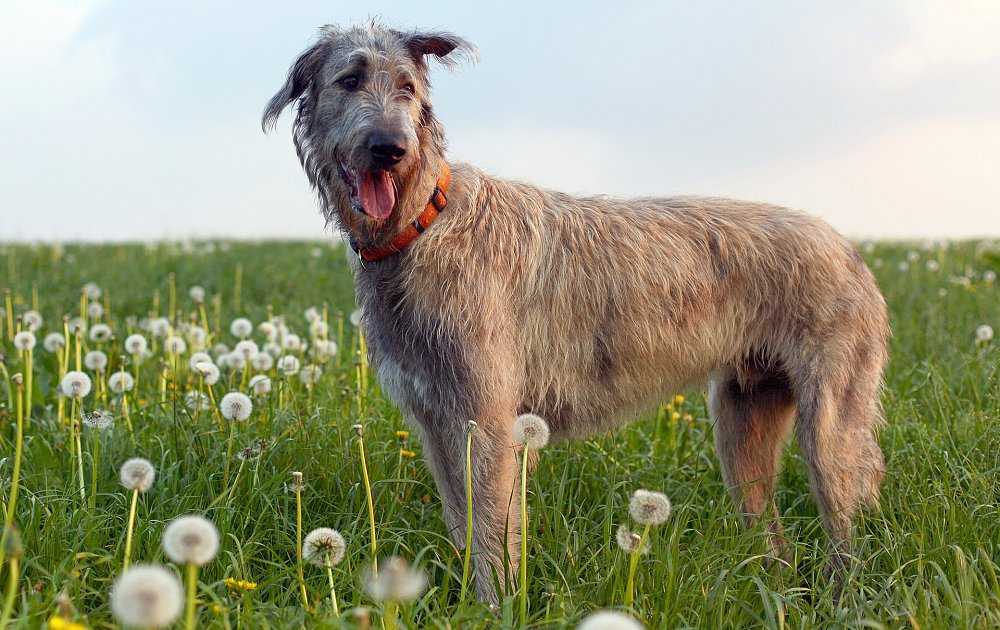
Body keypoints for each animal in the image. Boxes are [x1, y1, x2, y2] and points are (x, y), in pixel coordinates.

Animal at [262, 22, 888, 604]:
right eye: (350, 80)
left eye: (407, 87)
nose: (390, 147)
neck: (422, 224)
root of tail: (849, 247)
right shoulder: (436, 423)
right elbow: (464, 524)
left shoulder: (489, 421)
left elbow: (491, 534)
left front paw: (494, 607)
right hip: (742, 421)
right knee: (773, 534)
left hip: (830, 424)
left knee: (845, 518)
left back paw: (843, 594)